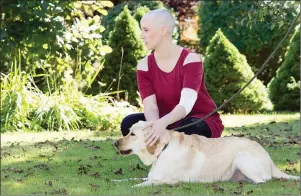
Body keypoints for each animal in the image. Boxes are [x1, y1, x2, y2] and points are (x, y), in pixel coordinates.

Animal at [113, 120, 298, 188]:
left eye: (132, 134)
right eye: (128, 132)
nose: (114, 143)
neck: (163, 149)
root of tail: (271, 162)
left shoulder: (165, 181)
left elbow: (139, 184)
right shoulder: (151, 176)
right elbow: (133, 179)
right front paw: (117, 181)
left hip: (242, 158)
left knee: (263, 181)